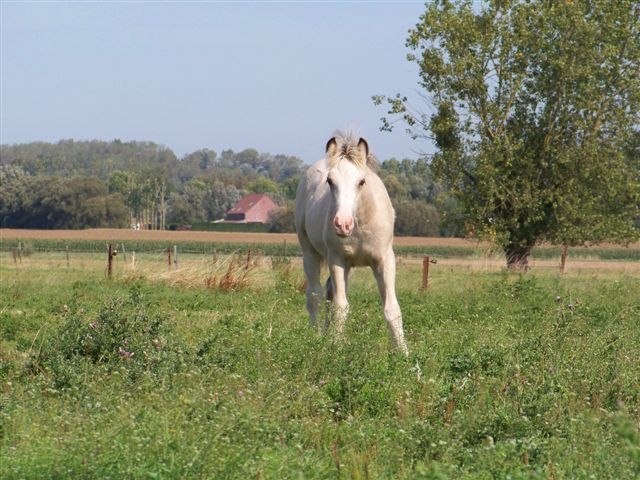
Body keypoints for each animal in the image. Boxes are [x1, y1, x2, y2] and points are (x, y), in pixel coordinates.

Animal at [296, 132, 410, 356]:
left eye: (361, 181)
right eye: (330, 181)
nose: (342, 224)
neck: (361, 224)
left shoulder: (385, 260)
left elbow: (392, 308)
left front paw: (403, 352)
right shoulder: (337, 260)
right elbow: (341, 306)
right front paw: (337, 346)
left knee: (328, 292)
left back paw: (325, 334)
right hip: (310, 254)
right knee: (315, 296)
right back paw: (316, 338)